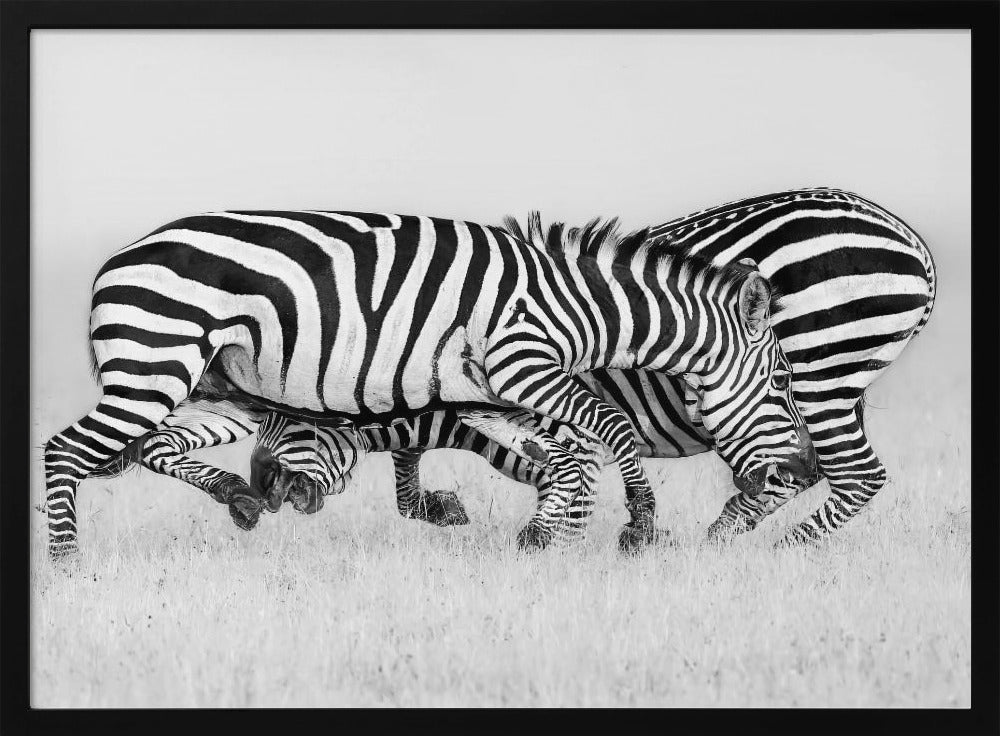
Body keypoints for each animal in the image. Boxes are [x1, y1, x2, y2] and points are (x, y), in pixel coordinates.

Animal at [44, 208, 813, 556]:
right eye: (782, 382)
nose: (805, 470)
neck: (583, 306)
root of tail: (116, 259)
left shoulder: (493, 393)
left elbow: (558, 454)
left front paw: (548, 531)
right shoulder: (524, 363)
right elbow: (609, 430)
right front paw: (639, 525)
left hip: (210, 383)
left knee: (154, 447)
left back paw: (237, 494)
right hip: (155, 366)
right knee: (64, 451)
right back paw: (68, 563)